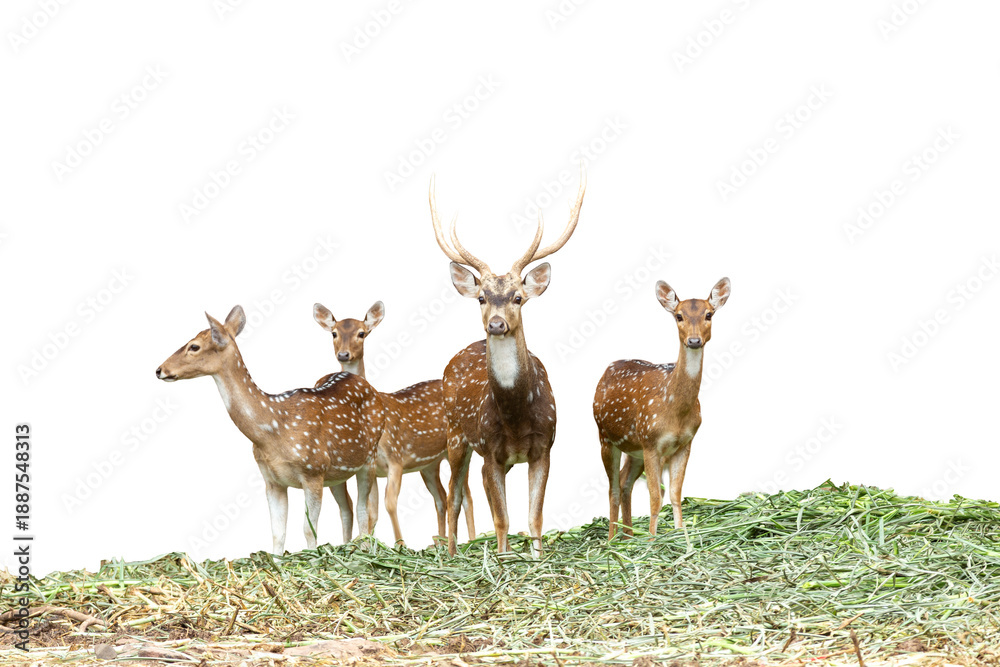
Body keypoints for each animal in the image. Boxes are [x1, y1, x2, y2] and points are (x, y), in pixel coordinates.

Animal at [155, 305, 385, 555]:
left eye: (194, 346)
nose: (159, 370)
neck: (273, 431)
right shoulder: (272, 480)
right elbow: (277, 532)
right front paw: (277, 559)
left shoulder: (313, 470)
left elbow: (308, 530)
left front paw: (313, 557)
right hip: (337, 472)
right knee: (348, 508)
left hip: (369, 457)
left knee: (364, 509)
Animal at [311, 300, 475, 546]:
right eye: (334, 333)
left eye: (362, 333)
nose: (343, 354)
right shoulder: (375, 466)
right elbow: (373, 510)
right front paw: (370, 544)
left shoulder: (396, 457)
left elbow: (390, 504)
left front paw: (400, 545)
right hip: (429, 464)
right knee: (441, 497)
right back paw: (440, 541)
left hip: (456, 449)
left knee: (466, 496)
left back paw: (474, 540)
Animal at [429, 172, 585, 556]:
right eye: (482, 298)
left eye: (518, 298)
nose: (497, 324)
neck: (515, 418)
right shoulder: (491, 451)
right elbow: (501, 519)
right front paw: (502, 558)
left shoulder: (544, 447)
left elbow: (534, 517)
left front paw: (537, 558)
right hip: (456, 435)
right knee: (454, 497)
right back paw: (451, 554)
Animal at [593, 278, 731, 539]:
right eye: (679, 316)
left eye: (709, 314)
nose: (694, 341)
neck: (675, 412)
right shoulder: (650, 441)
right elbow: (656, 497)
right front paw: (653, 538)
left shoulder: (685, 443)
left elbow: (676, 494)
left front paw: (678, 533)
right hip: (605, 436)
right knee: (612, 488)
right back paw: (612, 540)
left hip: (634, 447)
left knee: (625, 482)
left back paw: (629, 536)